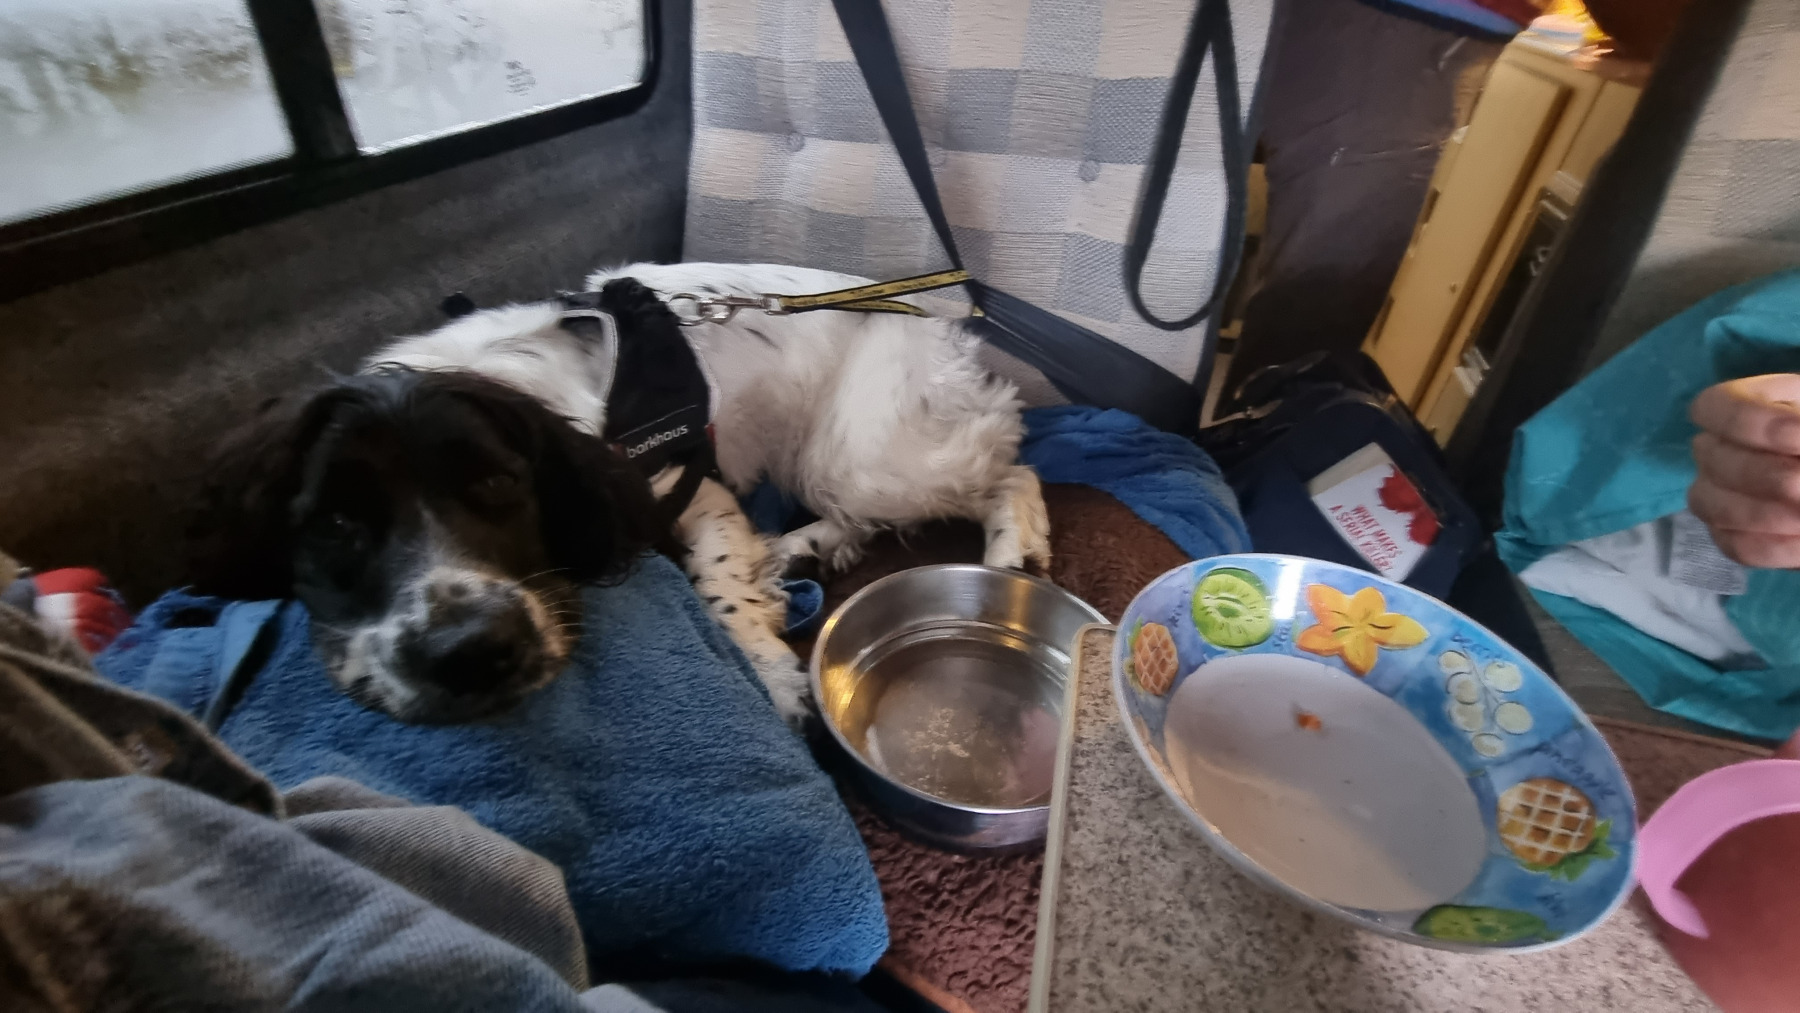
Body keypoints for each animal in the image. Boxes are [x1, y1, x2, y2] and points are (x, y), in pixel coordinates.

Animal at [195, 263, 1049, 724]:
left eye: (499, 485)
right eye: (335, 523)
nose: (467, 652)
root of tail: (931, 314)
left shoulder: (689, 485)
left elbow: (720, 590)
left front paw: (769, 671)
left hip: (863, 449)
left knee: (1012, 466)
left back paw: (1011, 550)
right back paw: (797, 548)